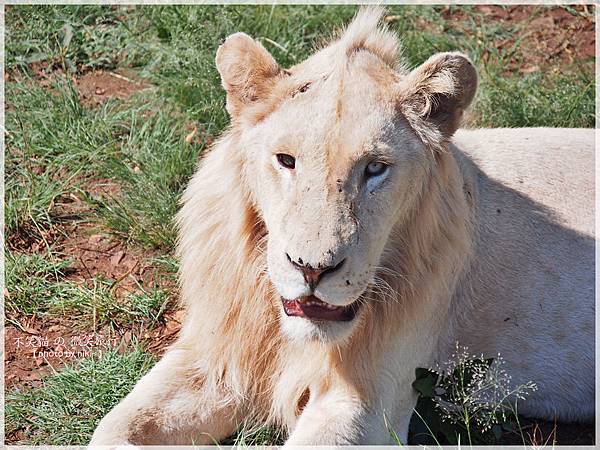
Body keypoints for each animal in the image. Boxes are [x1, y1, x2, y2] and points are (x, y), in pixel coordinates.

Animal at [91, 7, 592, 446]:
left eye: (375, 168)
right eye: (286, 160)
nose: (312, 269)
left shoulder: (367, 403)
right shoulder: (216, 360)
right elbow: (113, 427)